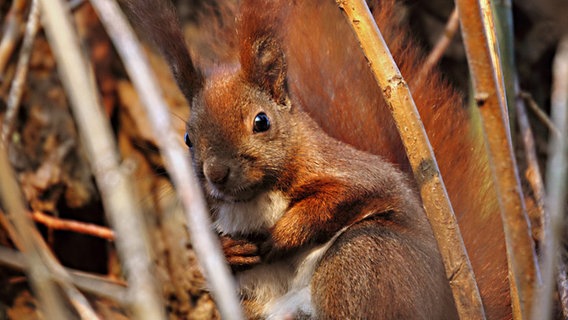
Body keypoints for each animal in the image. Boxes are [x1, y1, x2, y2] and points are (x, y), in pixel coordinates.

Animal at [123, 0, 510, 318]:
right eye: (188, 138)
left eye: (261, 121)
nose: (216, 173)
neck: (255, 198)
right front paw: (228, 251)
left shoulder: (349, 171)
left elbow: (341, 197)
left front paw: (282, 235)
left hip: (362, 261)